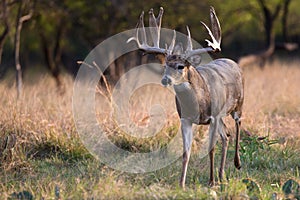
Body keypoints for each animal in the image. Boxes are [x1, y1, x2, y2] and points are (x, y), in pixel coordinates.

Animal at [126, 6, 244, 189]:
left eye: (181, 66)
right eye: (165, 65)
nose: (165, 79)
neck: (198, 102)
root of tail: (233, 62)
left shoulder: (213, 116)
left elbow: (211, 149)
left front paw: (211, 182)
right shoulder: (185, 119)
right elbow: (185, 152)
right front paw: (181, 184)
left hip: (237, 104)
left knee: (238, 125)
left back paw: (236, 164)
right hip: (221, 117)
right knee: (226, 135)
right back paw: (222, 175)